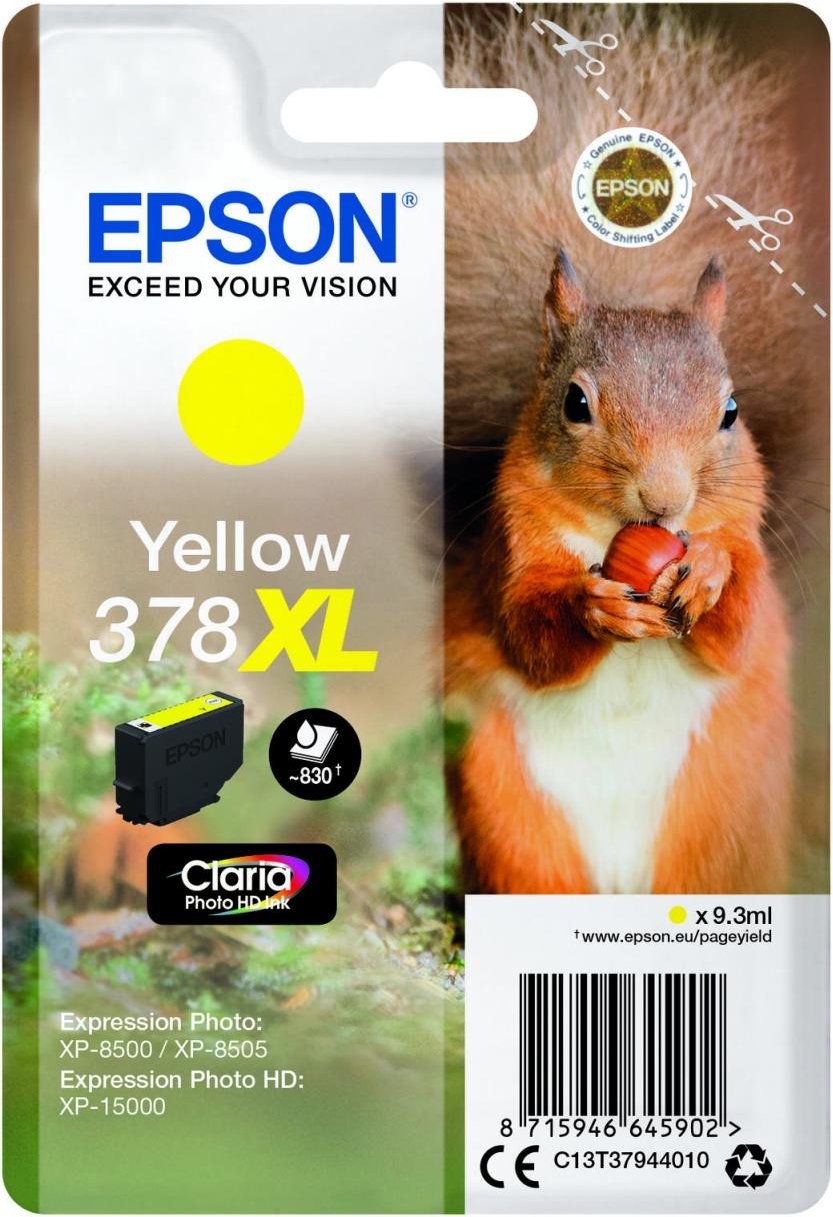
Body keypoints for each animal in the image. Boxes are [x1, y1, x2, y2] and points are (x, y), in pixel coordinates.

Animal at [443, 5, 827, 895]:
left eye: (730, 411)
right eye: (574, 403)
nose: (665, 500)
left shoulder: (747, 540)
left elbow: (738, 626)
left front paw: (709, 573)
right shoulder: (511, 548)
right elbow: (529, 632)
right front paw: (594, 606)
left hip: (722, 818)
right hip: (508, 813)